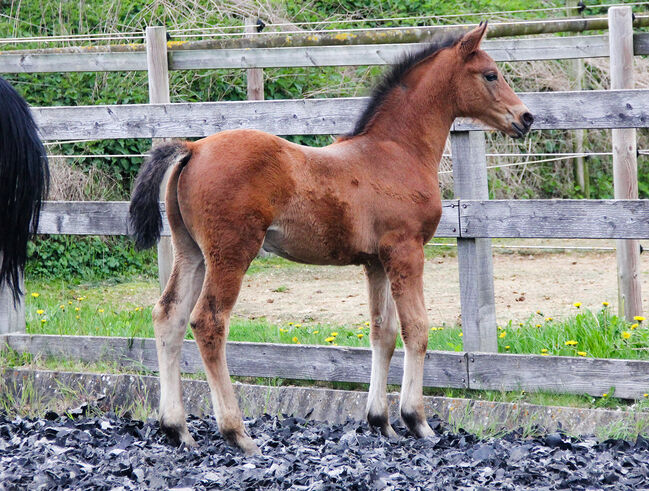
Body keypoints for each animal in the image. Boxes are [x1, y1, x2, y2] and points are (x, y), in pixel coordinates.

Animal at [128, 22, 532, 454]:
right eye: (490, 74)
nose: (526, 117)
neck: (396, 152)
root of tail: (193, 148)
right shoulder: (405, 250)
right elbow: (417, 329)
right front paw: (417, 421)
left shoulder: (376, 262)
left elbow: (383, 333)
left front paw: (380, 422)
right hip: (231, 252)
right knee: (208, 321)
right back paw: (237, 432)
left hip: (192, 252)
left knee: (168, 316)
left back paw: (177, 428)